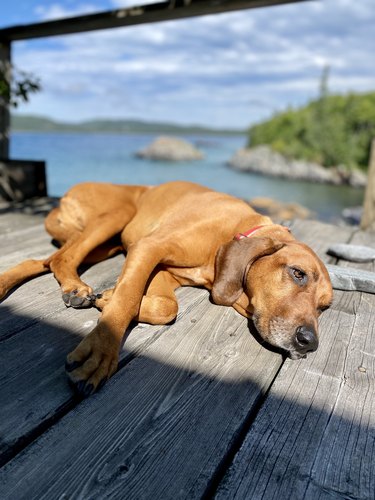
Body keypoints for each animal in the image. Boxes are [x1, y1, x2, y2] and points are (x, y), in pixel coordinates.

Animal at [0, 182, 334, 396]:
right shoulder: (150, 247)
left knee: (46, 260)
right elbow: (129, 296)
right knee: (61, 257)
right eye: (298, 273)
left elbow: (167, 306)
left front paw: (108, 297)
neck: (236, 229)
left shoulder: (164, 270)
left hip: (108, 245)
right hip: (117, 216)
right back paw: (75, 287)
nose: (309, 343)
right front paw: (101, 351)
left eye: (325, 307)